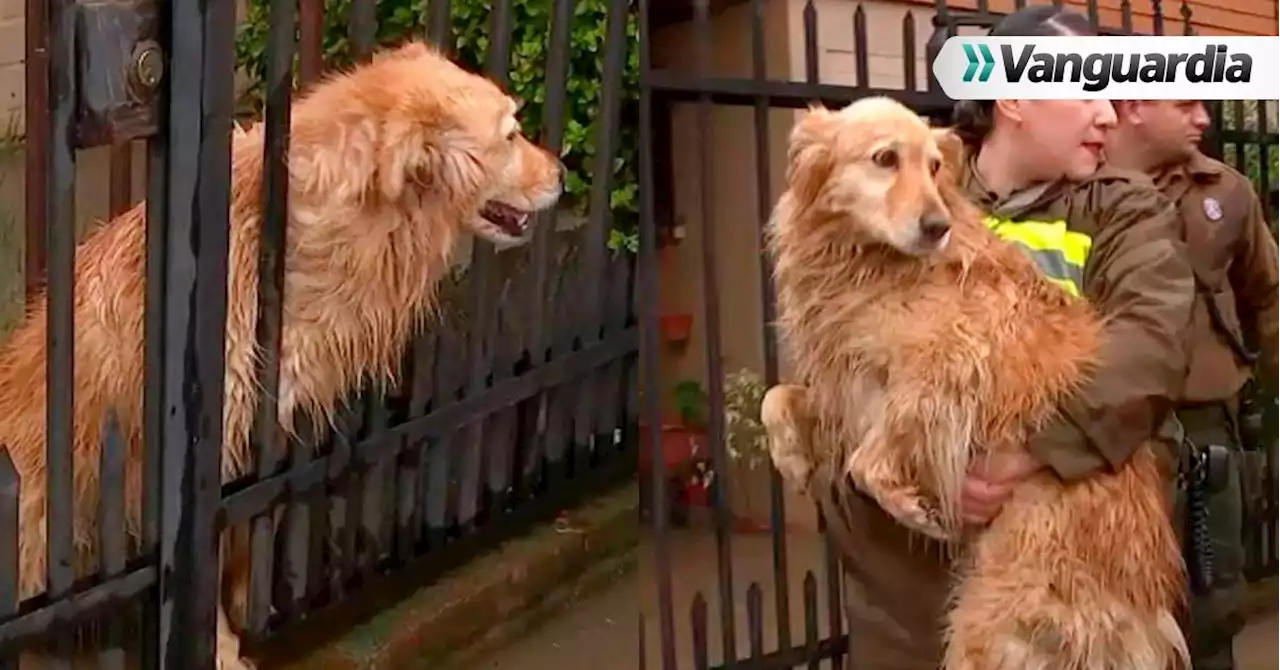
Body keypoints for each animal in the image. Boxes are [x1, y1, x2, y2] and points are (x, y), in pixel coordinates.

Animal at [757, 95, 1187, 670]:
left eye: (935, 166)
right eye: (885, 159)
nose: (935, 226)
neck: (864, 258)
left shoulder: (951, 361)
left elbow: (872, 457)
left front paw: (913, 506)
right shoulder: (846, 390)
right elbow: (776, 400)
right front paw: (793, 459)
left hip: (992, 617)